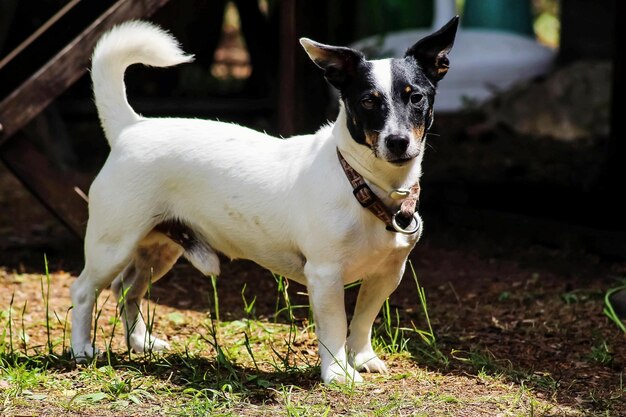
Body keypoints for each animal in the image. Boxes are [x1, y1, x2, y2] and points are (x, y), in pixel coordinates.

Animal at [69, 17, 458, 384]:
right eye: (368, 101)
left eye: (416, 97)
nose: (397, 141)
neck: (362, 182)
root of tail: (130, 127)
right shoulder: (325, 276)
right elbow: (335, 327)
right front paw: (338, 375)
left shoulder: (387, 274)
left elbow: (362, 320)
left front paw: (362, 358)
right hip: (113, 244)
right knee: (84, 289)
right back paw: (82, 349)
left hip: (160, 249)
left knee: (127, 291)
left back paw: (141, 342)